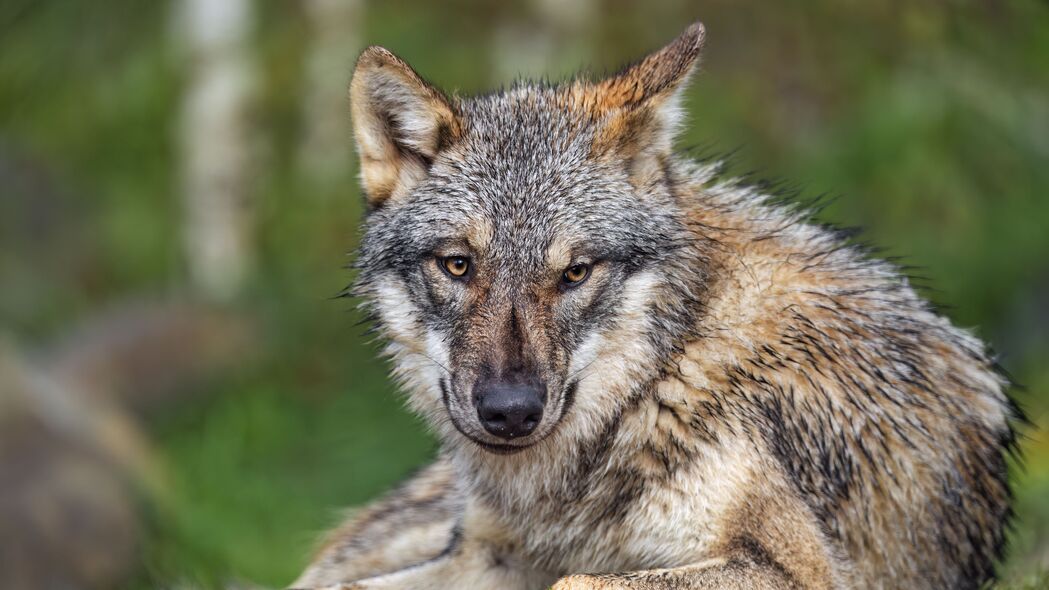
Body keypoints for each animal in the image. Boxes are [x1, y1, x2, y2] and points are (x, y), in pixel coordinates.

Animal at [291, 22, 1019, 587]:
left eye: (575, 273)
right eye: (457, 265)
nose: (509, 412)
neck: (654, 381)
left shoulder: (798, 569)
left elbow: (576, 580)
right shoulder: (489, 556)